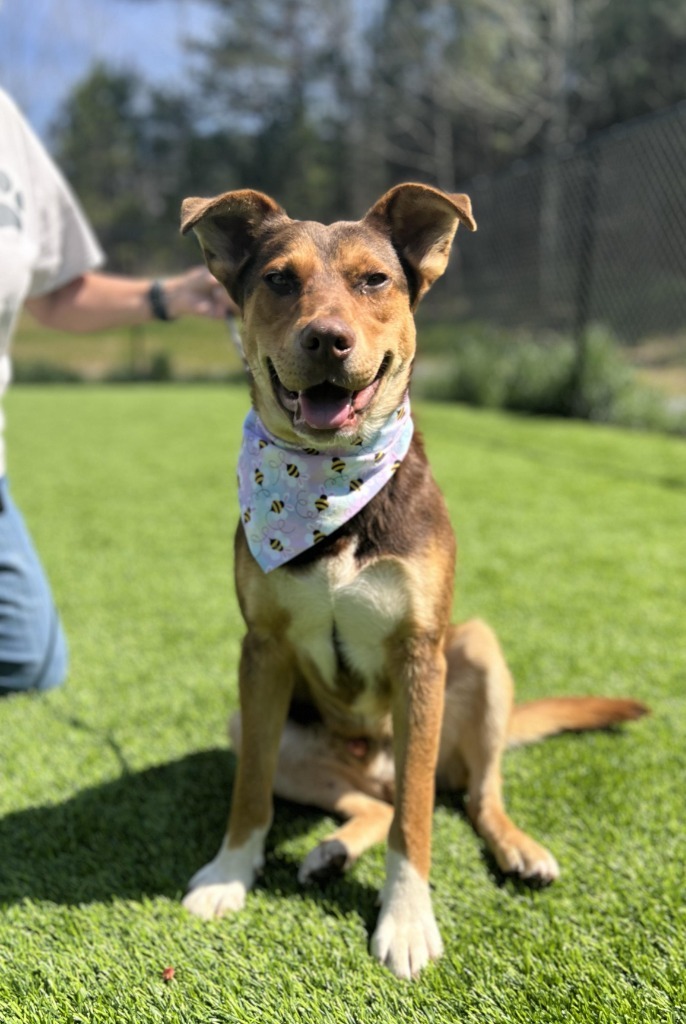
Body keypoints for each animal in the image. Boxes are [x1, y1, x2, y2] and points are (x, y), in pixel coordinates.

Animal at [179, 184, 651, 974]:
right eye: (278, 279)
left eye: (374, 280)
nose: (327, 339)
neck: (330, 490)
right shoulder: (262, 650)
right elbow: (250, 793)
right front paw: (228, 874)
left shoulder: (419, 654)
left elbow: (418, 818)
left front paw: (404, 920)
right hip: (255, 723)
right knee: (370, 801)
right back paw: (330, 852)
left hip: (479, 652)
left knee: (467, 794)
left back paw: (516, 848)